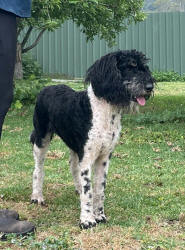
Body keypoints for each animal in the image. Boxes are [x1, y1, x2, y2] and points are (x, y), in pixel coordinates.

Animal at [30, 49, 155, 229]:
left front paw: (100, 215)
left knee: (73, 166)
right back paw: (37, 196)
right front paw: (87, 220)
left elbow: (99, 189)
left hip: (74, 146)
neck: (102, 111)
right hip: (42, 138)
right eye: (130, 66)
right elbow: (88, 190)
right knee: (38, 168)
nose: (149, 87)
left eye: (144, 67)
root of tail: (46, 88)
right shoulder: (87, 156)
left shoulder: (103, 157)